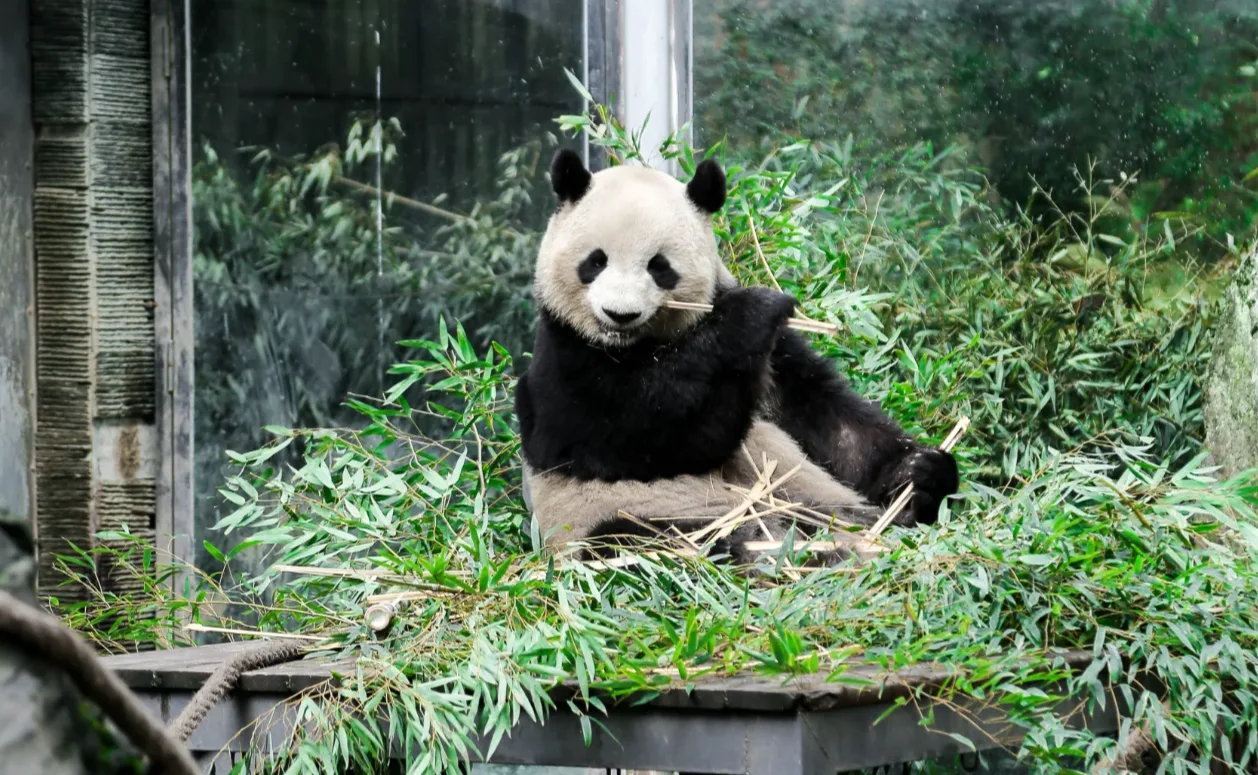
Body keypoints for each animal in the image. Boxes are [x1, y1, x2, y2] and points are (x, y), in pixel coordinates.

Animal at [513, 148, 959, 565]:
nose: (620, 314)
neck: (634, 348)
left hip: (806, 499)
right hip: (626, 517)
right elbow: (641, 438)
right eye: (595, 261)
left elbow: (830, 423)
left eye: (659, 267)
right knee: (648, 541)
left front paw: (918, 475)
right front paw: (750, 313)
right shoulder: (564, 357)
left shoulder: (775, 358)